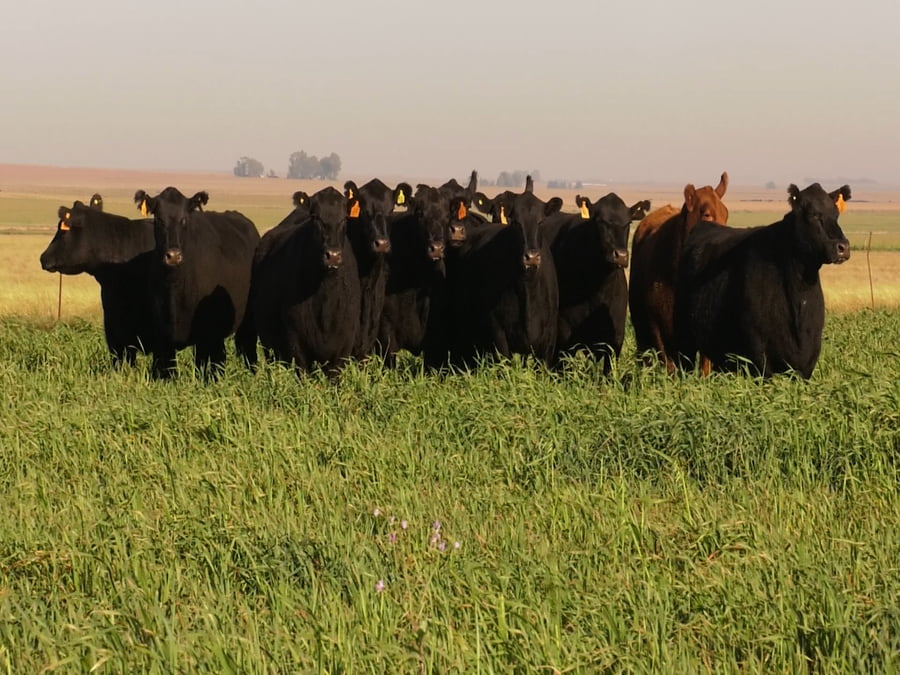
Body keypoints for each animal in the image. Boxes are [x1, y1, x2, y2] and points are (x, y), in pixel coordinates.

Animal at [132, 187, 260, 379]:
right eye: (159, 219)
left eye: (184, 219)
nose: (173, 256)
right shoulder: (162, 337)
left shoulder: (205, 336)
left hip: (246, 322)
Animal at [674, 183, 851, 378]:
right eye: (813, 214)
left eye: (836, 214)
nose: (842, 247)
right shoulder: (760, 357)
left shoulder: (807, 361)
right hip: (683, 338)